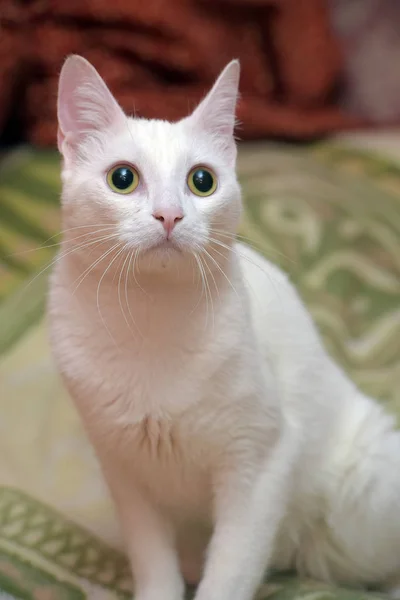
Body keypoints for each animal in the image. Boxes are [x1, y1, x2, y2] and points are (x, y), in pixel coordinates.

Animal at [49, 56, 400, 600]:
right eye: (122, 178)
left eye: (202, 181)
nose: (169, 215)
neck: (152, 318)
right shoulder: (126, 475)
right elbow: (154, 567)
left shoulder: (258, 461)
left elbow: (231, 571)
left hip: (362, 504)